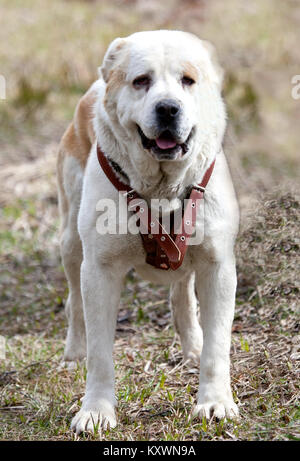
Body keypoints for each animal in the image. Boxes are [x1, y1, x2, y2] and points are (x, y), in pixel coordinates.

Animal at [56, 30, 239, 434]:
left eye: (188, 80)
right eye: (141, 81)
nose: (168, 108)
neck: (160, 189)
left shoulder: (218, 267)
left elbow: (218, 346)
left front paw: (215, 402)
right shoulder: (100, 270)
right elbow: (100, 353)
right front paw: (96, 410)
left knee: (182, 294)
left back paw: (192, 346)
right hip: (71, 242)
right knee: (74, 302)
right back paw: (74, 351)